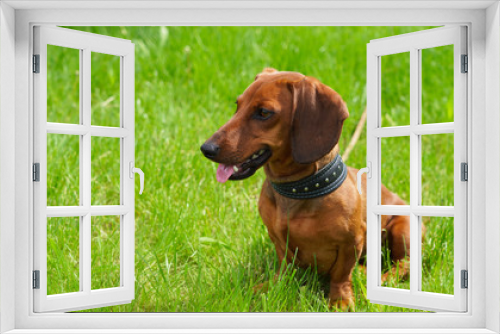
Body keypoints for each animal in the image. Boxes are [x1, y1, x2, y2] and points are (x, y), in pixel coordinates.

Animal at [201, 68, 412, 310]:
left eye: (263, 113)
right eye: (237, 105)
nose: (206, 149)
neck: (297, 188)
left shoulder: (353, 241)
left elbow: (341, 274)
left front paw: (340, 301)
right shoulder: (278, 240)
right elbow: (284, 267)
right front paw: (271, 287)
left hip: (403, 229)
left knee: (404, 264)